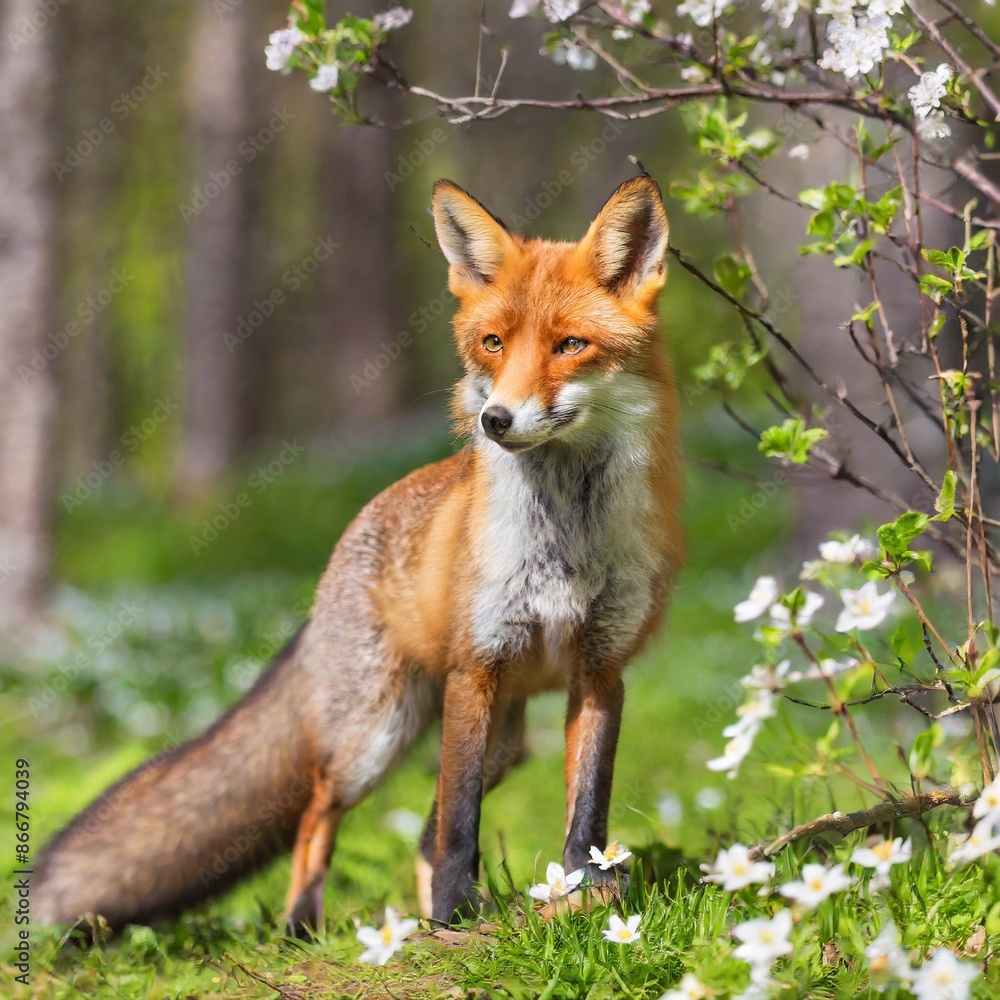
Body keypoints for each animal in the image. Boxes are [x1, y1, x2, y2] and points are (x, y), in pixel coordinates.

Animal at [33, 175, 684, 936]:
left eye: (571, 345)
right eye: (493, 343)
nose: (495, 419)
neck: (565, 543)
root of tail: (346, 541)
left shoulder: (601, 670)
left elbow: (586, 811)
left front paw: (587, 895)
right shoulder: (476, 669)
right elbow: (460, 825)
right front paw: (455, 912)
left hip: (501, 741)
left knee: (420, 835)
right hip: (377, 734)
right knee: (322, 811)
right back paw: (304, 923)